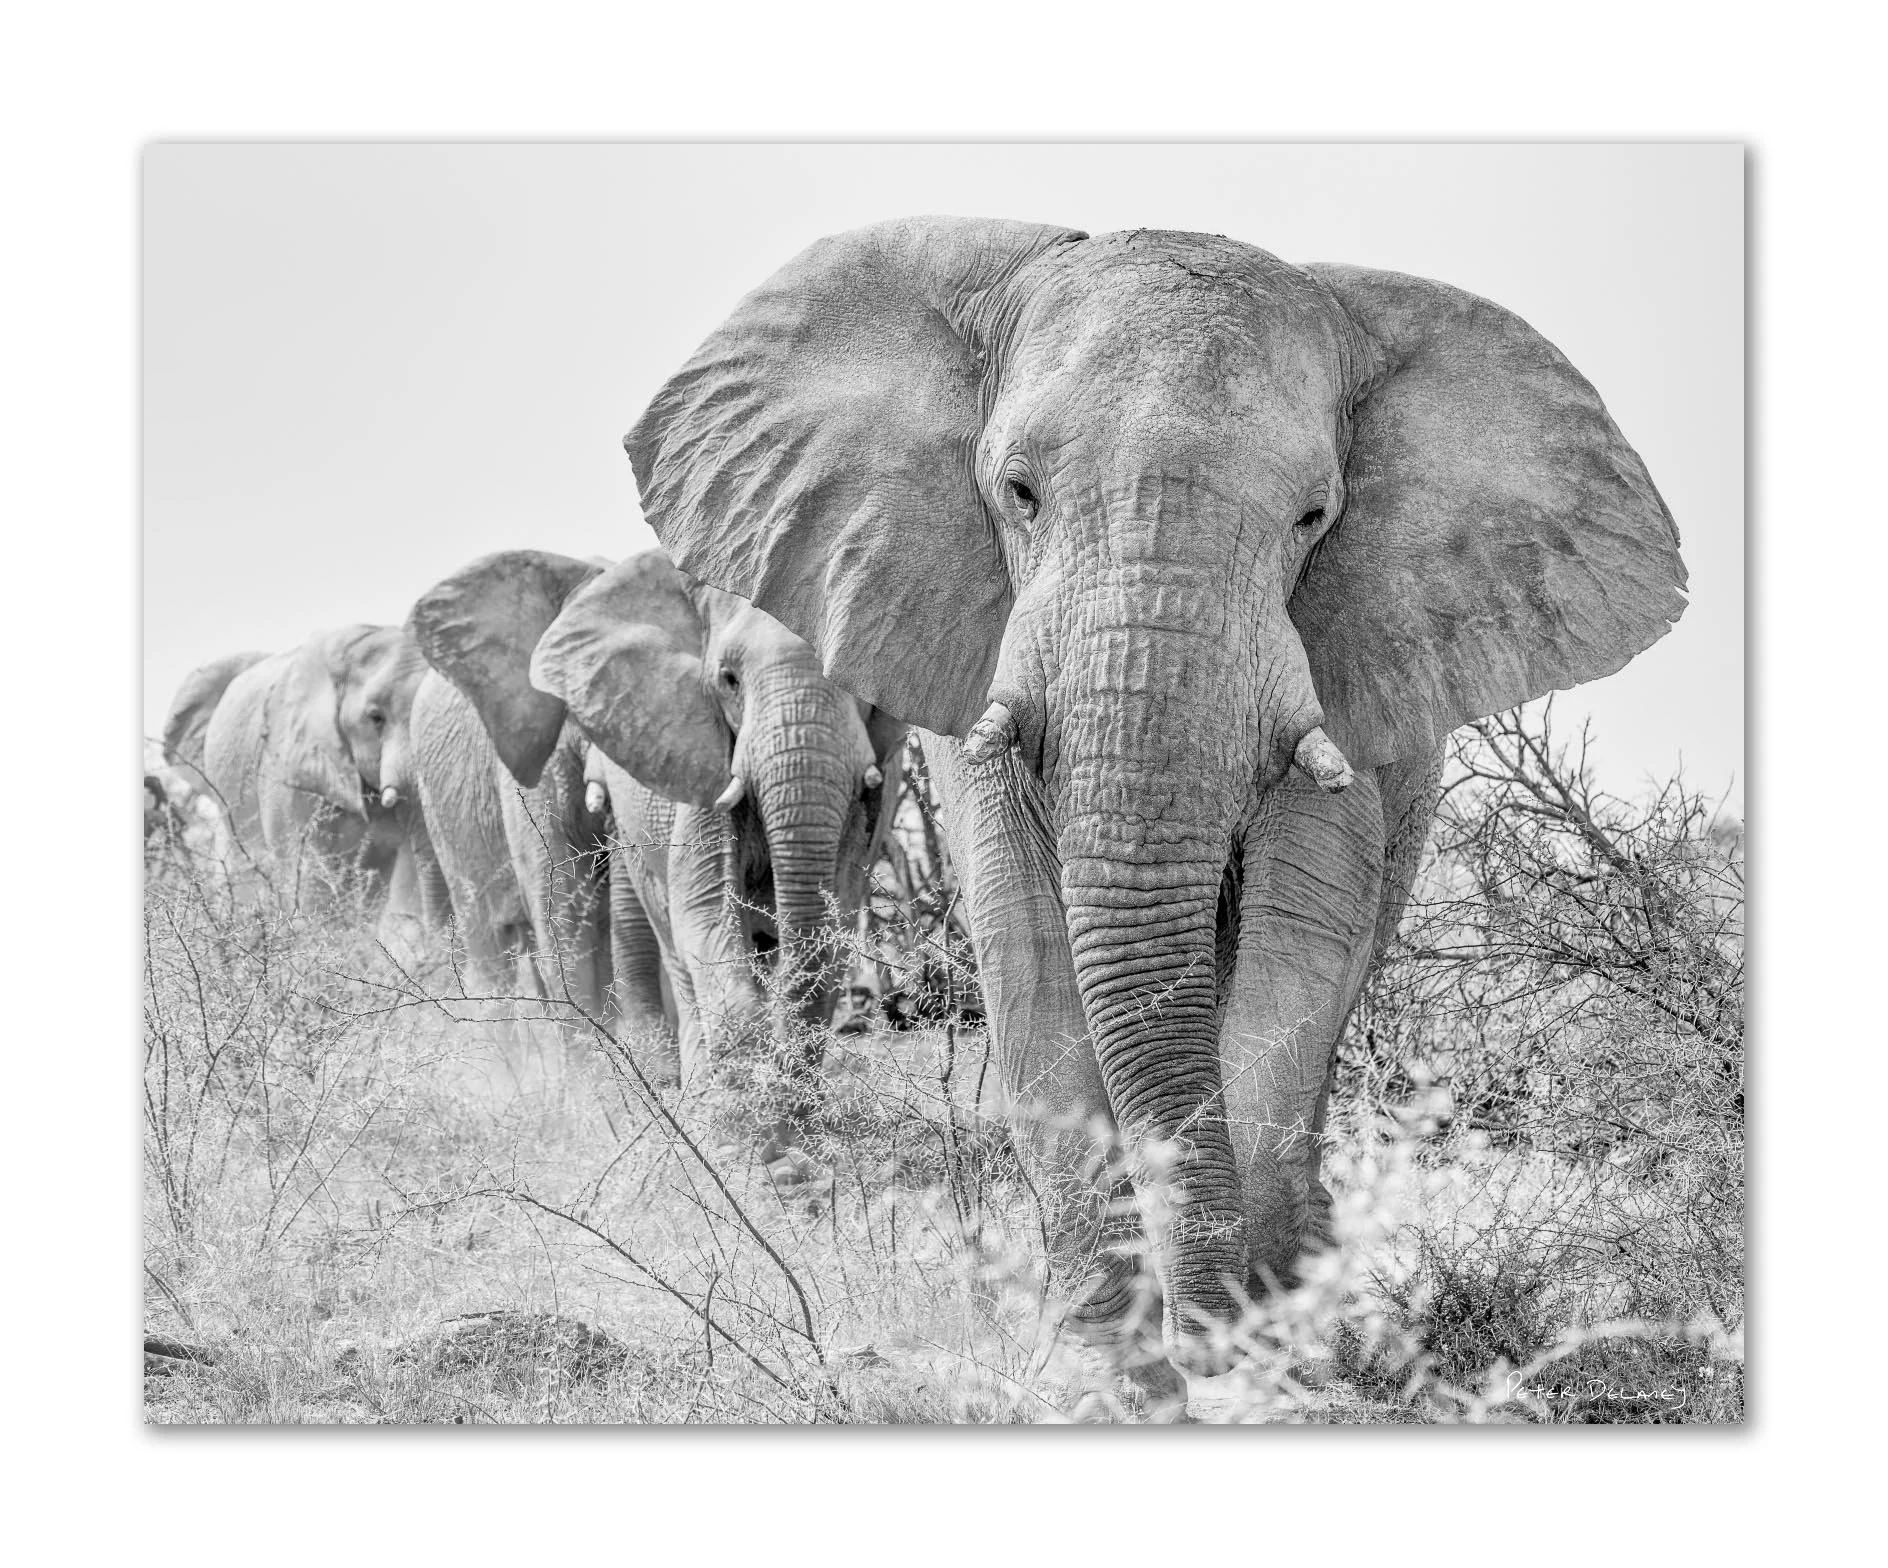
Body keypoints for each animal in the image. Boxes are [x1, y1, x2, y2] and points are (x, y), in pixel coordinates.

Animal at [623, 217, 1688, 1401]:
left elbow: (1299, 947)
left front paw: (1269, 1352)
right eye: (1019, 490)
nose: (1205, 1348)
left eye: (1314, 516)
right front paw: (1112, 1376)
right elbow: (1028, 947)